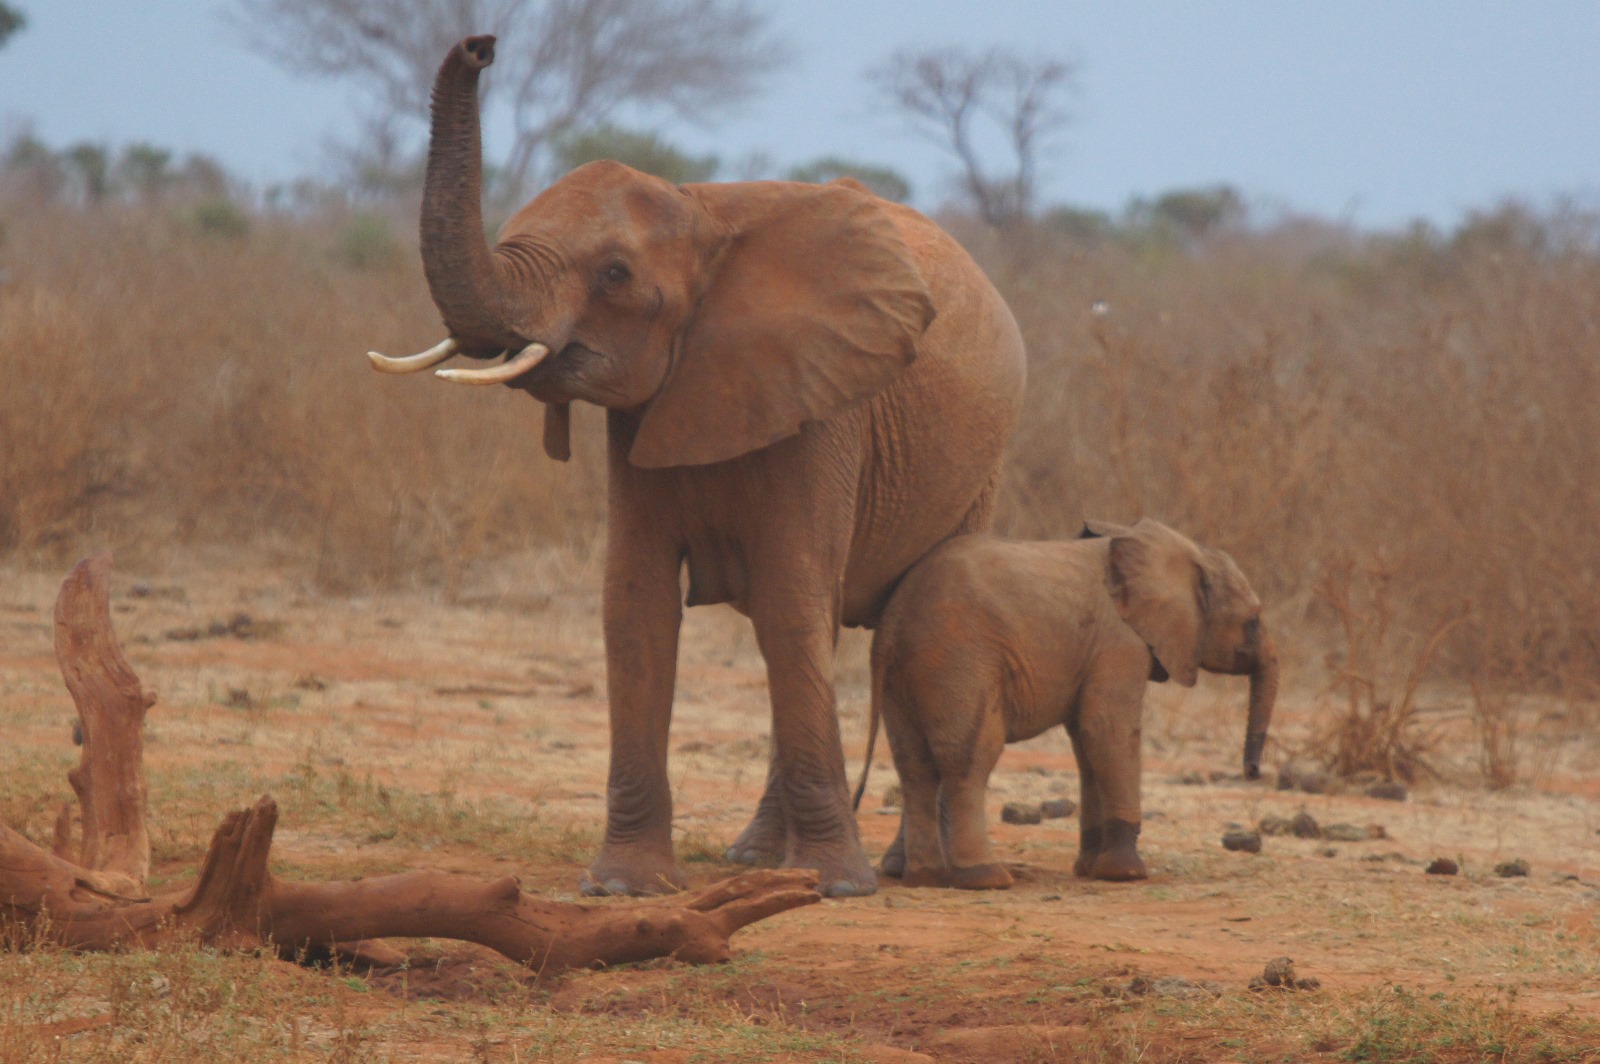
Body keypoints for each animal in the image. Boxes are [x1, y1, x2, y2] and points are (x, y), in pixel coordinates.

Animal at [371, 35, 1024, 896]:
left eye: (615, 274)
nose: (482, 46)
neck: (704, 211)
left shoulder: (822, 406)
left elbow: (788, 603)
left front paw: (833, 888)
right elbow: (635, 606)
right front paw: (626, 887)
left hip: (982, 465)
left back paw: (892, 867)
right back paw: (758, 859)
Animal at [864, 515, 1273, 889]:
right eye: (1253, 621)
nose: (1253, 771)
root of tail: (893, 620)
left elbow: (1086, 743)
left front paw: (1090, 869)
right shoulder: (1120, 643)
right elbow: (1108, 730)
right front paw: (1127, 874)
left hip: (906, 677)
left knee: (913, 764)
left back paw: (926, 878)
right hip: (960, 660)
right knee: (969, 758)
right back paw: (986, 878)